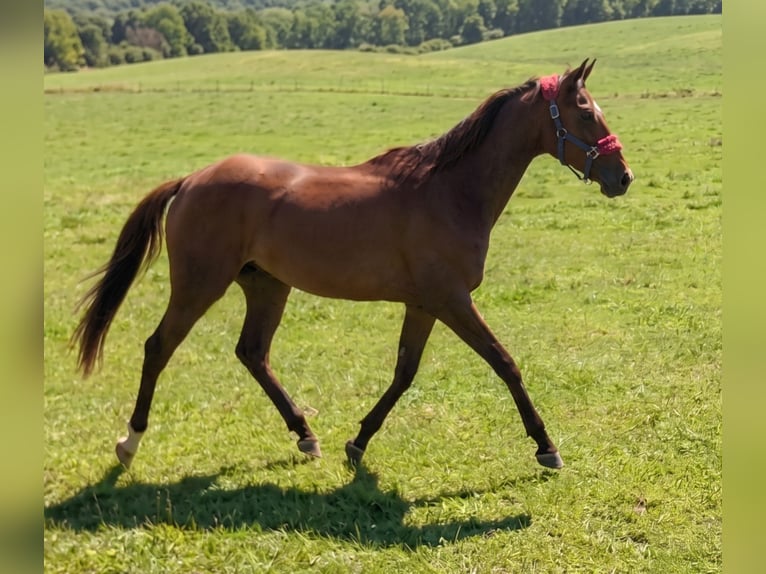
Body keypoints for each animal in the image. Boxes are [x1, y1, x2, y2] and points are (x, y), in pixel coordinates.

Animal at [72, 59, 633, 471]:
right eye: (585, 112)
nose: (623, 177)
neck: (449, 190)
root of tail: (190, 180)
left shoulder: (424, 304)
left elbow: (405, 373)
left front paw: (358, 442)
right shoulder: (452, 300)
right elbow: (505, 362)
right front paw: (546, 446)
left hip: (267, 286)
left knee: (252, 353)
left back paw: (305, 435)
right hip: (199, 284)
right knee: (159, 347)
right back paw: (129, 443)